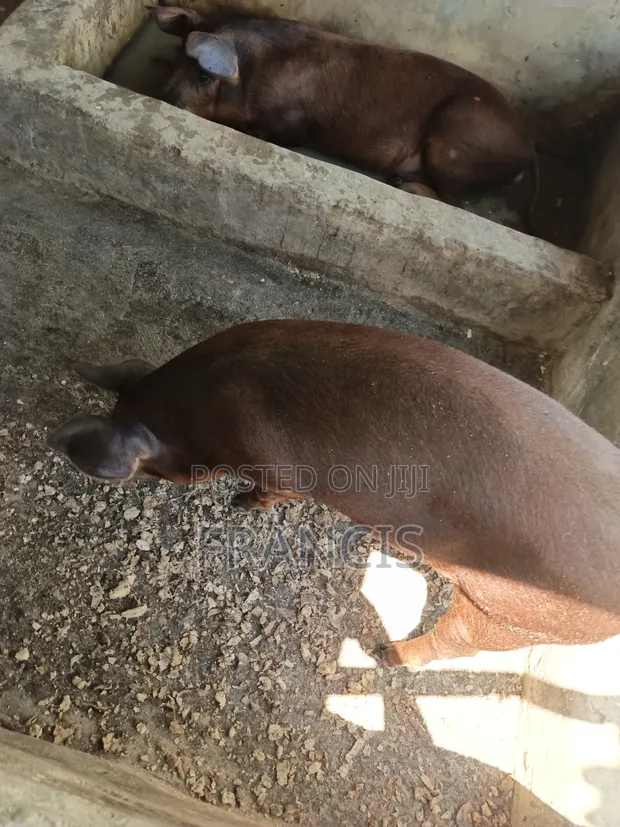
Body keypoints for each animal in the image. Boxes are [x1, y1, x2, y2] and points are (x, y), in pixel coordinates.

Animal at [47, 320, 620, 669]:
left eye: (160, 474)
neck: (196, 416)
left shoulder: (281, 472)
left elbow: (268, 494)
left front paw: (238, 505)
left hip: (516, 616)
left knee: (456, 643)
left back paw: (383, 655)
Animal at [152, 4, 535, 211]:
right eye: (179, 58)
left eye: (205, 75)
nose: (166, 96)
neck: (249, 74)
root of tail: (526, 151)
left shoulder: (289, 127)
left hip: (458, 138)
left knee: (453, 200)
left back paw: (403, 184)